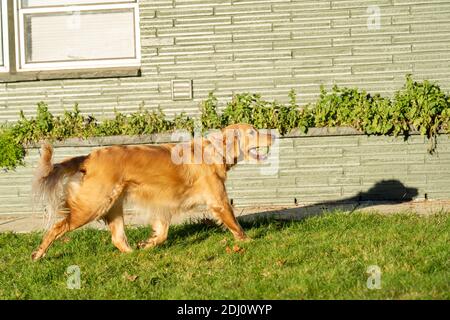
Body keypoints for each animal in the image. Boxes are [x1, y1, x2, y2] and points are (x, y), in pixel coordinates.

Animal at [31, 123, 274, 260]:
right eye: (252, 131)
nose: (273, 135)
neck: (214, 151)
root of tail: (89, 157)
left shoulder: (162, 203)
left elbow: (162, 233)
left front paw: (147, 244)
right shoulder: (219, 201)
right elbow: (236, 225)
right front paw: (249, 242)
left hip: (113, 205)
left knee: (118, 238)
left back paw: (133, 254)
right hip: (92, 206)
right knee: (56, 228)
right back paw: (38, 254)